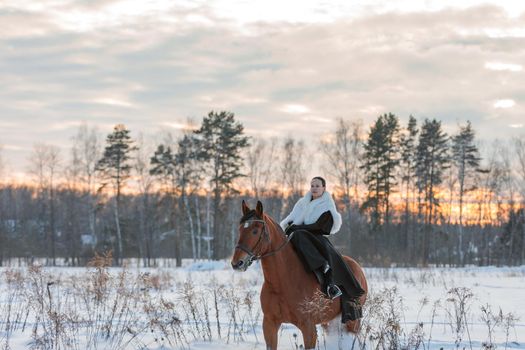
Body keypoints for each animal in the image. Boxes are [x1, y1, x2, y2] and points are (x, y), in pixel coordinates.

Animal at [231, 201, 366, 348]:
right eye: (239, 230)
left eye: (255, 231)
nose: (237, 263)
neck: (282, 282)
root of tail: (357, 267)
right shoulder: (269, 324)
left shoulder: (308, 328)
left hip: (353, 322)